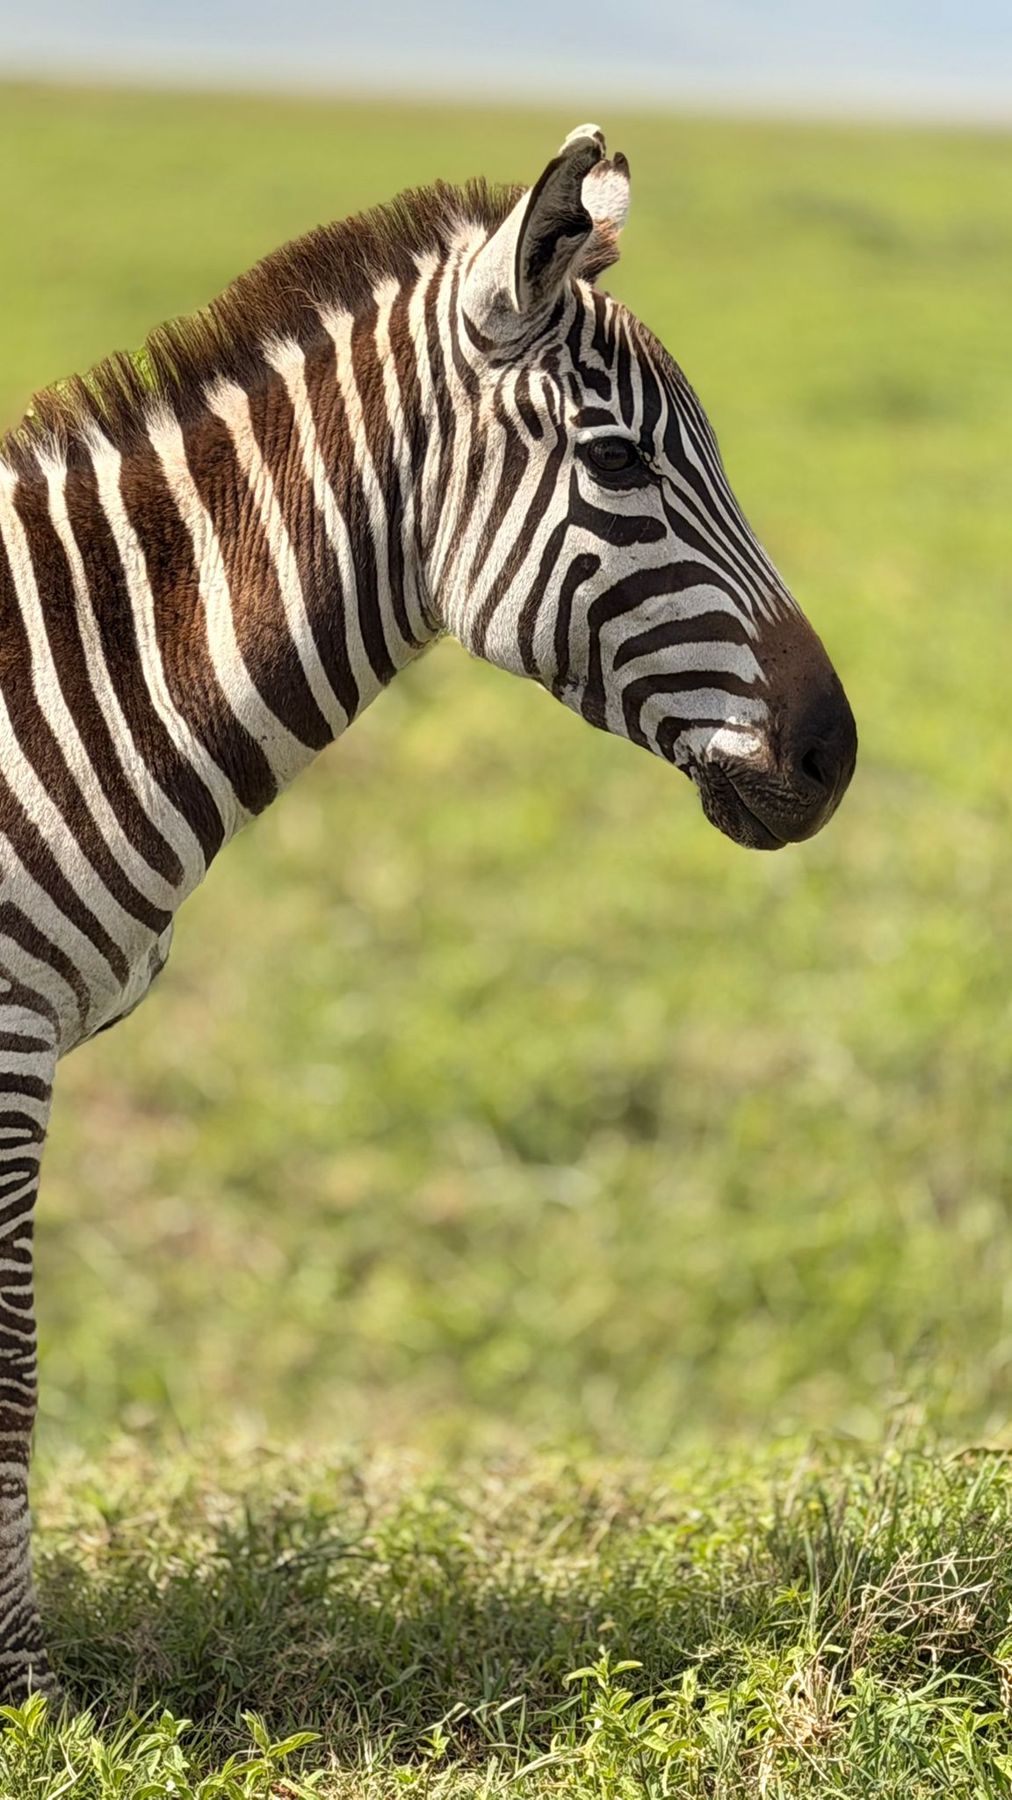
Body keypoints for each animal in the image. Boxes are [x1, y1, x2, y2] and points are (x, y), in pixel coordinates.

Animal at [0, 124, 855, 1697]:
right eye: (619, 460)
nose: (835, 759)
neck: (51, 694)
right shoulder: (8, 1040)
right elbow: (16, 1361)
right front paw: (24, 1694)